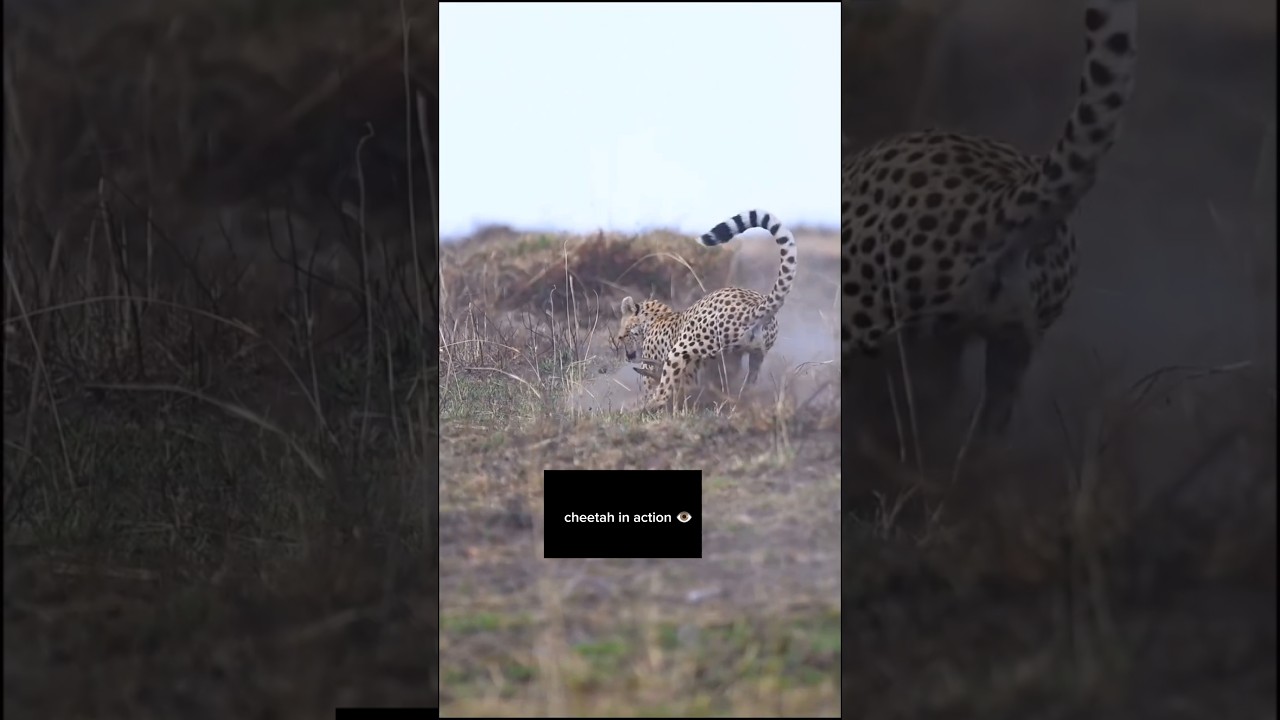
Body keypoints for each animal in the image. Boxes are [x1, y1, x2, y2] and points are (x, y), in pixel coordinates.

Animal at [614, 210, 798, 411]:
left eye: (622, 336)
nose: (628, 354)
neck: (655, 318)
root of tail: (753, 303)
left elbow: (655, 384)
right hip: (752, 354)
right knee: (748, 382)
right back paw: (737, 401)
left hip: (683, 348)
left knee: (663, 391)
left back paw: (646, 408)